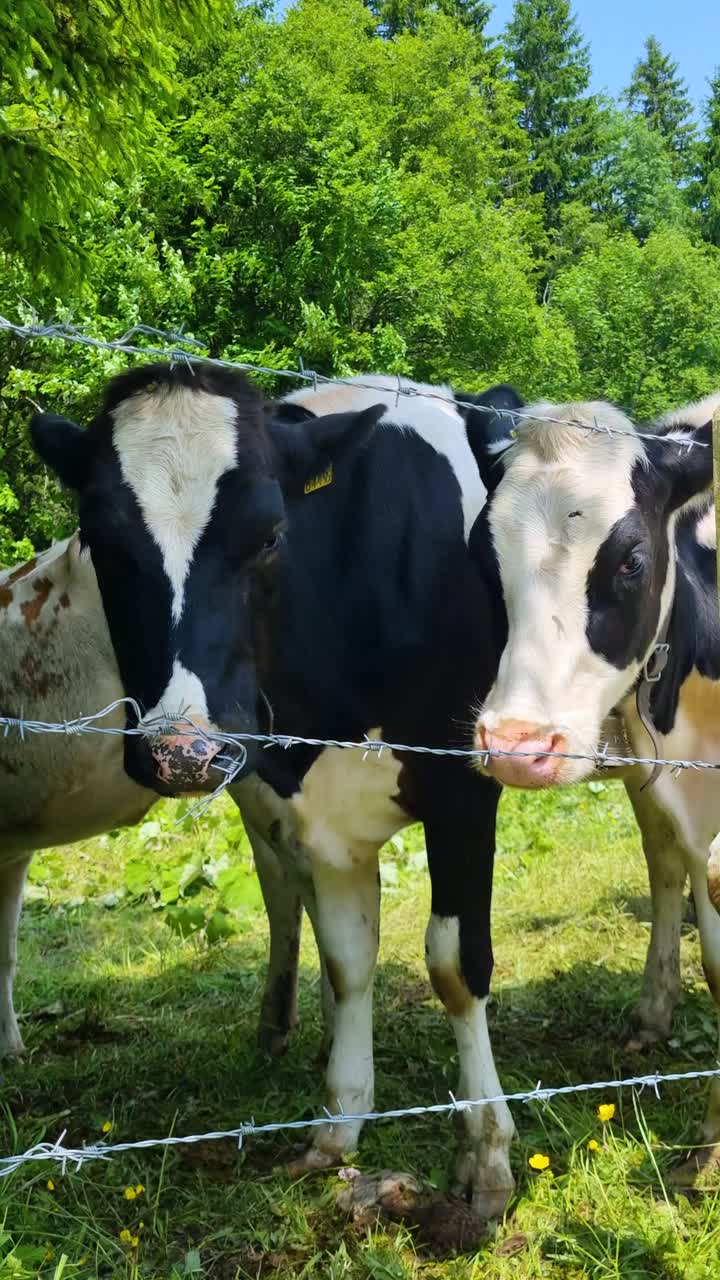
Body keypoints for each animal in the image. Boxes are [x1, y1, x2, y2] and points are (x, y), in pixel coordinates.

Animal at [11, 365, 524, 1217]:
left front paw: (485, 1157)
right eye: (103, 545)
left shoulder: (462, 787)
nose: (184, 752)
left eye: (272, 536)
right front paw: (337, 1127)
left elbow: (457, 965)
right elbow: (347, 959)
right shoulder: (314, 806)